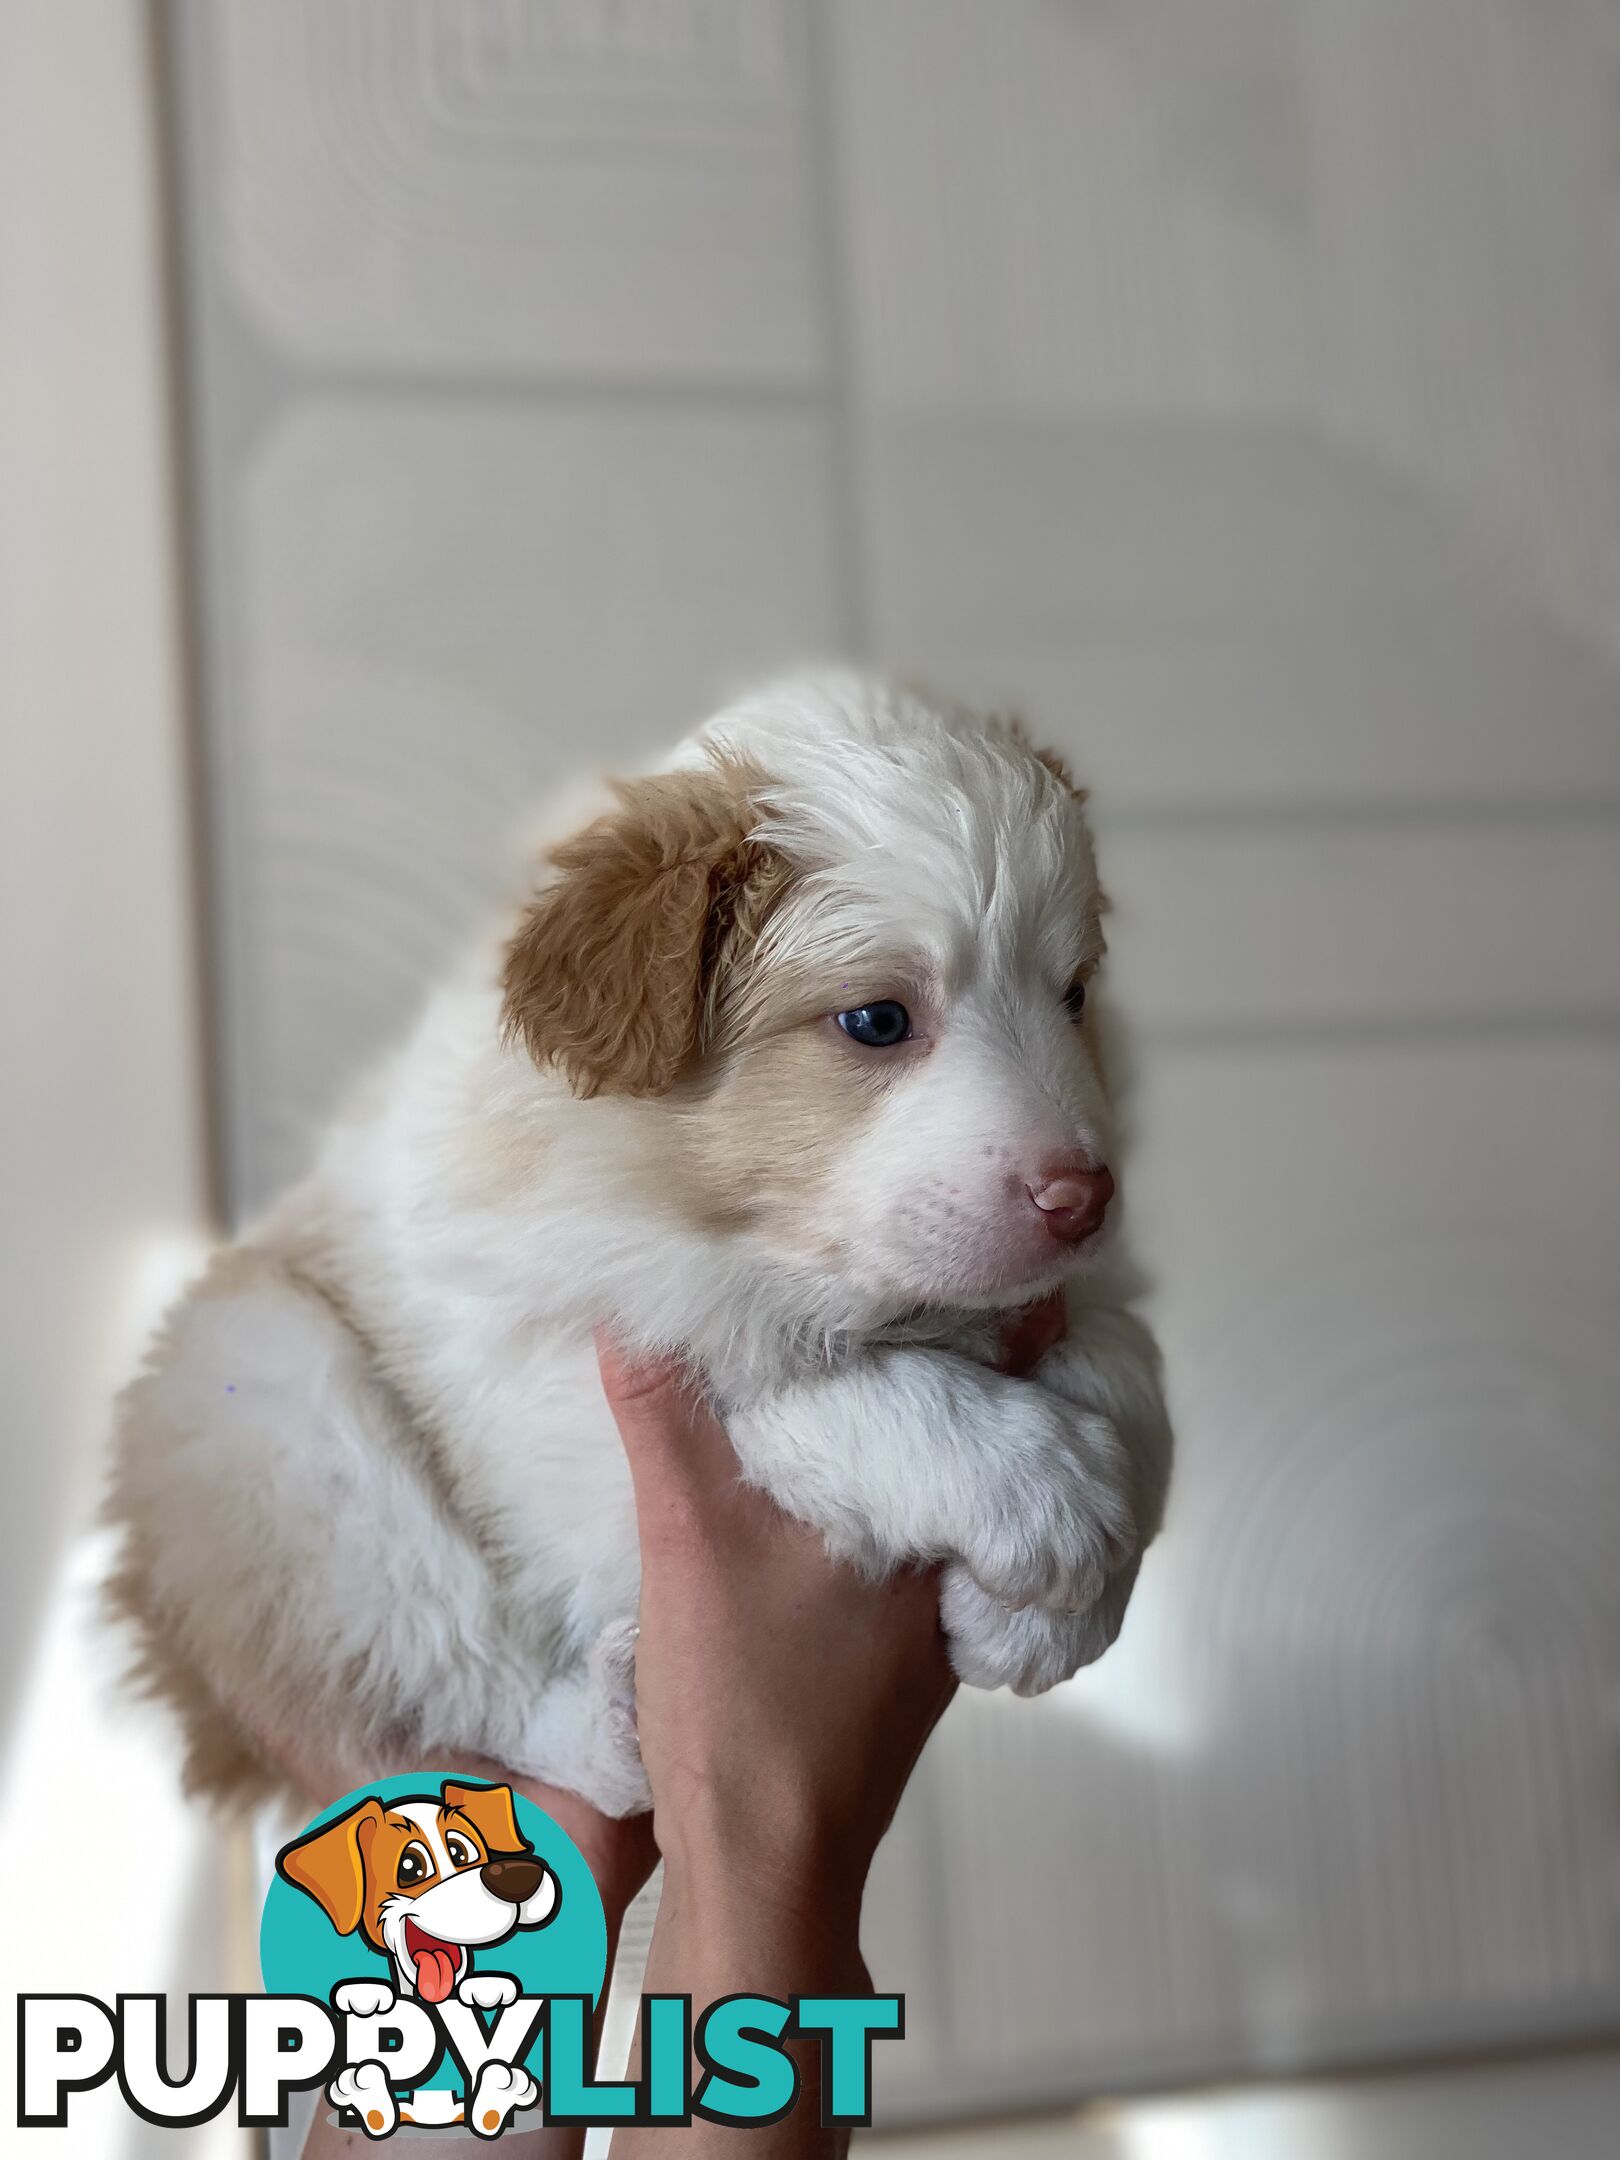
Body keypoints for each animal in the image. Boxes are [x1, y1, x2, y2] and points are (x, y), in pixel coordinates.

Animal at [108, 669, 1175, 1805]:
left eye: (1073, 996)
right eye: (878, 1022)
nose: (1082, 1197)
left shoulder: (1080, 1290)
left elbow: (1132, 1371)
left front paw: (1049, 1621)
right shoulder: (552, 1399)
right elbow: (783, 1392)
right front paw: (1039, 1492)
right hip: (270, 1411)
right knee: (448, 1687)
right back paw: (609, 1727)